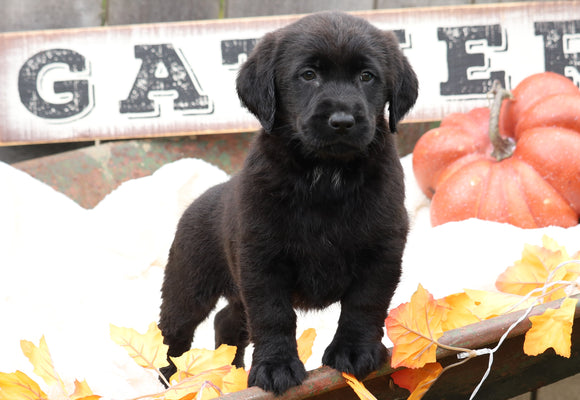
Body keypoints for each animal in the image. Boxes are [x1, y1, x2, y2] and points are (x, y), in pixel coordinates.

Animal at [160, 11, 416, 394]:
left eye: (367, 76)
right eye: (308, 75)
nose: (342, 121)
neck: (326, 177)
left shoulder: (381, 252)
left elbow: (364, 304)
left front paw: (354, 351)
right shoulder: (262, 260)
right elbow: (273, 317)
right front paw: (275, 367)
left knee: (227, 321)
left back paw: (230, 373)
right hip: (187, 287)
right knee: (171, 336)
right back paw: (172, 383)